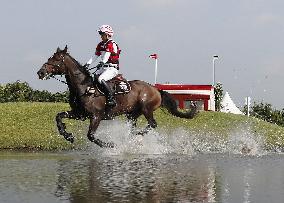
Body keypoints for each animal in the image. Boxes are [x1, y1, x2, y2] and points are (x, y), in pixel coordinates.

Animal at [37, 46, 197, 147]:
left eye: (57, 59)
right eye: (50, 57)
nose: (40, 72)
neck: (83, 87)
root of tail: (155, 89)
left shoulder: (96, 116)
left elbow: (91, 136)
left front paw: (109, 144)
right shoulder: (79, 113)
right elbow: (58, 116)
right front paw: (67, 135)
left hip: (146, 108)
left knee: (152, 124)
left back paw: (137, 134)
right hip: (132, 113)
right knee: (135, 126)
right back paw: (132, 135)